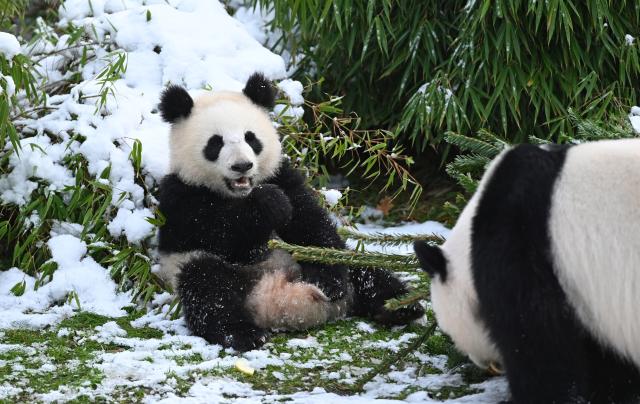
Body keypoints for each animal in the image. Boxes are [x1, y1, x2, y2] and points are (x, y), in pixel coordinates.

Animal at [156, 73, 424, 352]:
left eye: (251, 138)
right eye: (215, 143)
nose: (242, 166)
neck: (238, 193)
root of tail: (279, 298)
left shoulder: (282, 175)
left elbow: (311, 224)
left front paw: (330, 282)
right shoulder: (180, 197)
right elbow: (219, 233)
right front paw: (268, 203)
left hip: (342, 264)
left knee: (364, 271)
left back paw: (402, 306)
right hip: (199, 268)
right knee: (207, 287)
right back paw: (243, 333)